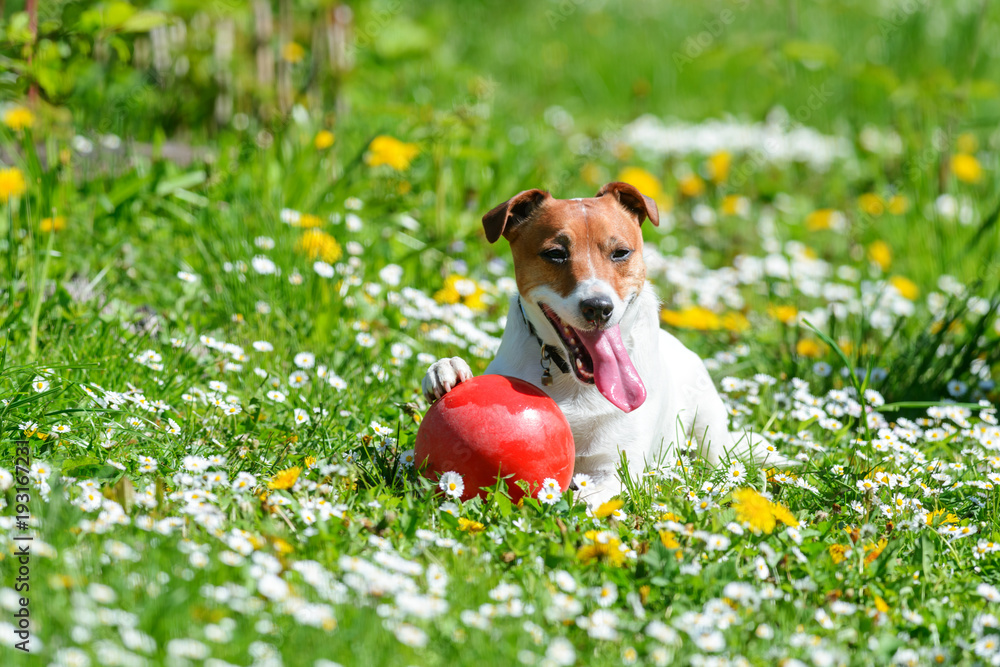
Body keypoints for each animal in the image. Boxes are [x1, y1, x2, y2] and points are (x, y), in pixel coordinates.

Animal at [422, 183, 780, 506]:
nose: (598, 307)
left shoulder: (615, 469)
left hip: (708, 429)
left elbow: (588, 496)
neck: (572, 381)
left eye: (620, 252)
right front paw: (448, 370)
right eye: (555, 254)